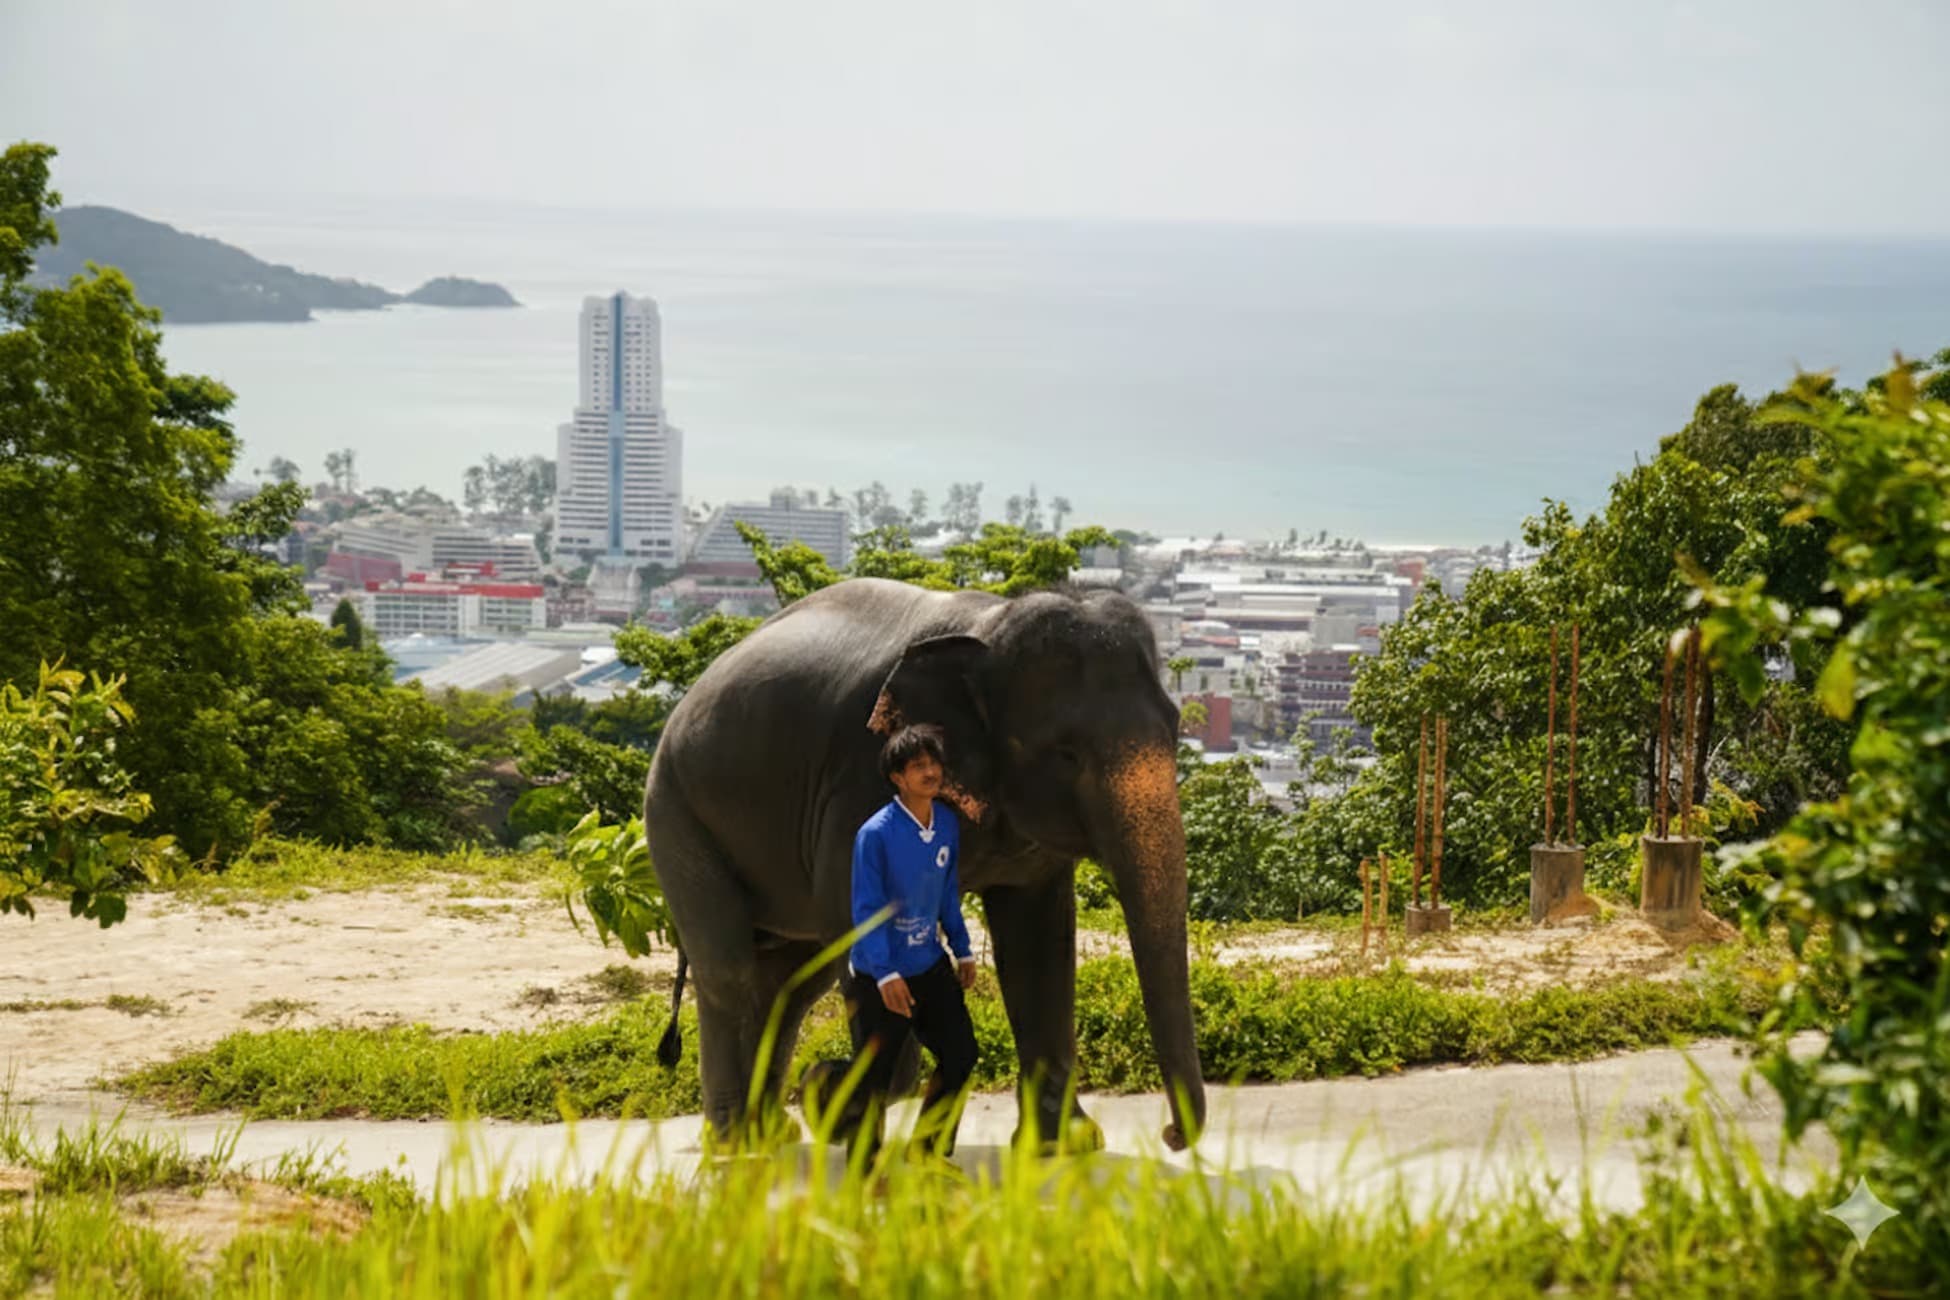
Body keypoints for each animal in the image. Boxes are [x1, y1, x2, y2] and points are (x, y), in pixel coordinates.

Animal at [644, 577, 1205, 1151]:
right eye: (1066, 754)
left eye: (1176, 727)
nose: (1169, 1133)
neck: (988, 627)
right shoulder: (859, 782)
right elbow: (858, 925)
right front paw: (833, 1097)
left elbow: (1039, 942)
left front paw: (1064, 1146)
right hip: (675, 814)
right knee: (729, 969)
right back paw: (737, 1139)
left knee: (791, 979)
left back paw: (772, 1132)